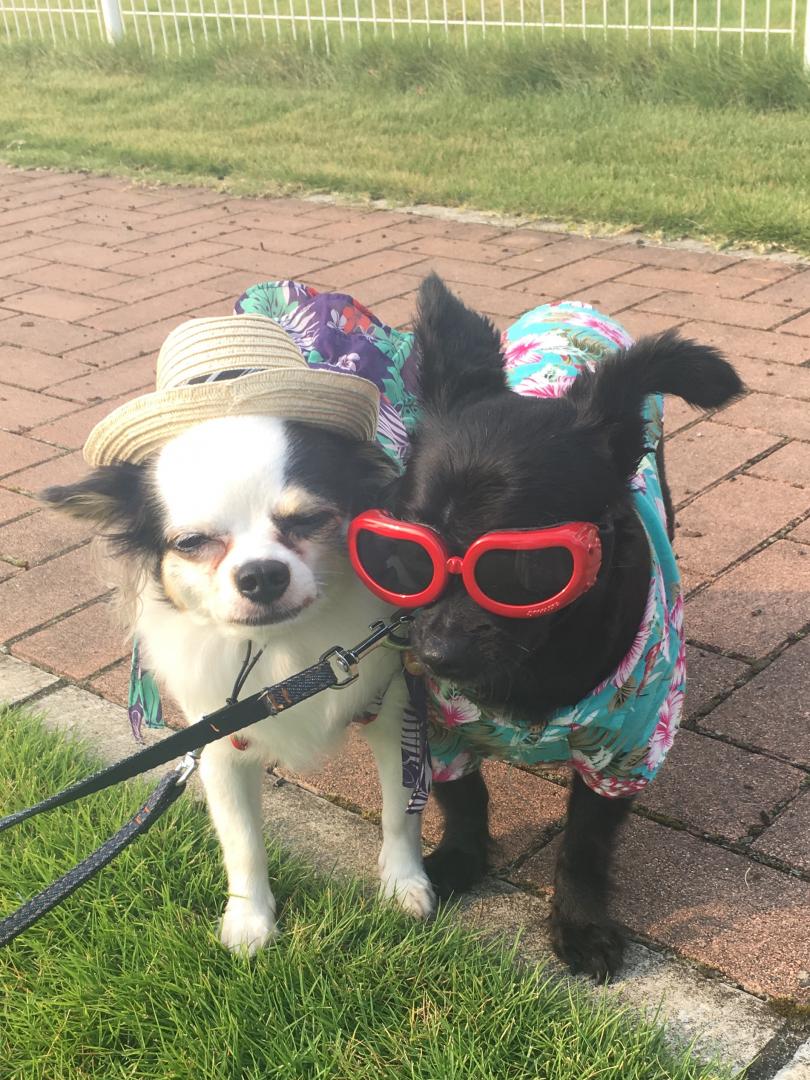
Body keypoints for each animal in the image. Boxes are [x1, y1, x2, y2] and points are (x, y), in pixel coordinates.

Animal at [43, 313, 435, 954]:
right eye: (192, 543)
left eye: (309, 520)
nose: (261, 574)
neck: (289, 657)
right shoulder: (218, 739)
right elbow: (242, 841)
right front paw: (250, 921)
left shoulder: (394, 706)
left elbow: (401, 809)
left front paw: (404, 882)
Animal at [351, 274, 743, 979]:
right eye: (407, 555)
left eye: (525, 569)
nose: (436, 653)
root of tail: (570, 306)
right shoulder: (439, 728)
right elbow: (463, 797)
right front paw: (455, 861)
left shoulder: (626, 751)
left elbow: (585, 842)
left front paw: (579, 923)